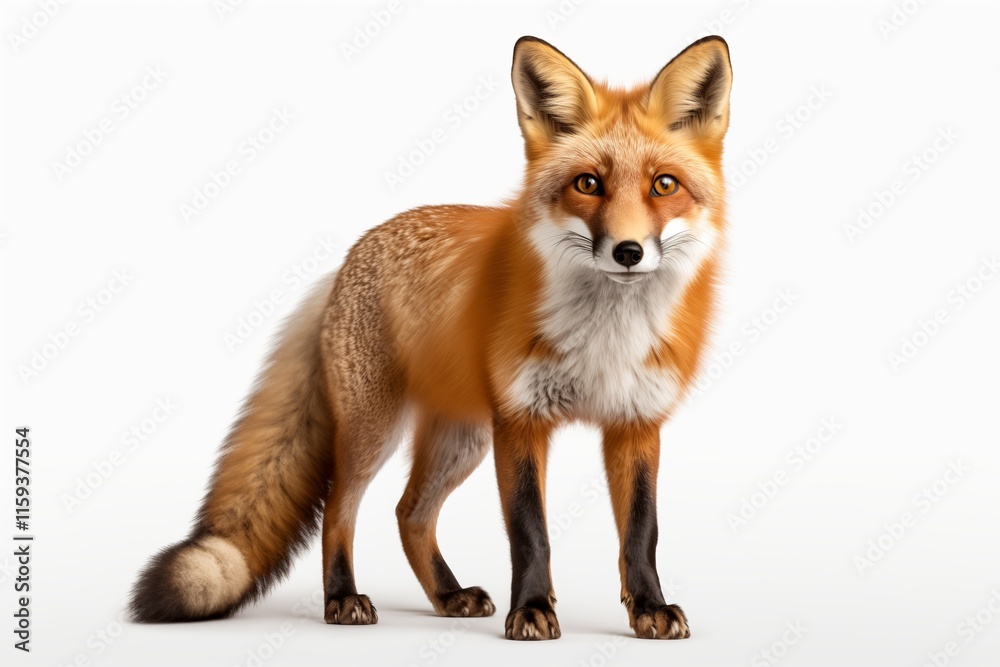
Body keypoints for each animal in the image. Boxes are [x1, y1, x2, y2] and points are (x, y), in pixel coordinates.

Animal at [129, 34, 733, 641]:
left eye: (663, 185)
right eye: (588, 184)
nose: (628, 252)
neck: (607, 339)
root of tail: (348, 259)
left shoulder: (636, 423)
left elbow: (642, 532)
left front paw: (649, 607)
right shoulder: (520, 420)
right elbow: (529, 532)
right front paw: (531, 608)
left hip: (461, 438)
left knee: (410, 512)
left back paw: (447, 595)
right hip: (377, 429)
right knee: (339, 508)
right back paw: (342, 597)